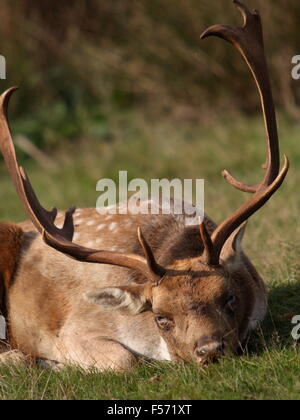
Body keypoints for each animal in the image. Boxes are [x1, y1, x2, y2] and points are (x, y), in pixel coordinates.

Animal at [0, 1, 290, 370]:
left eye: (229, 297)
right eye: (161, 317)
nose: (209, 349)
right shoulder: (76, 325)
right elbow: (125, 360)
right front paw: (53, 362)